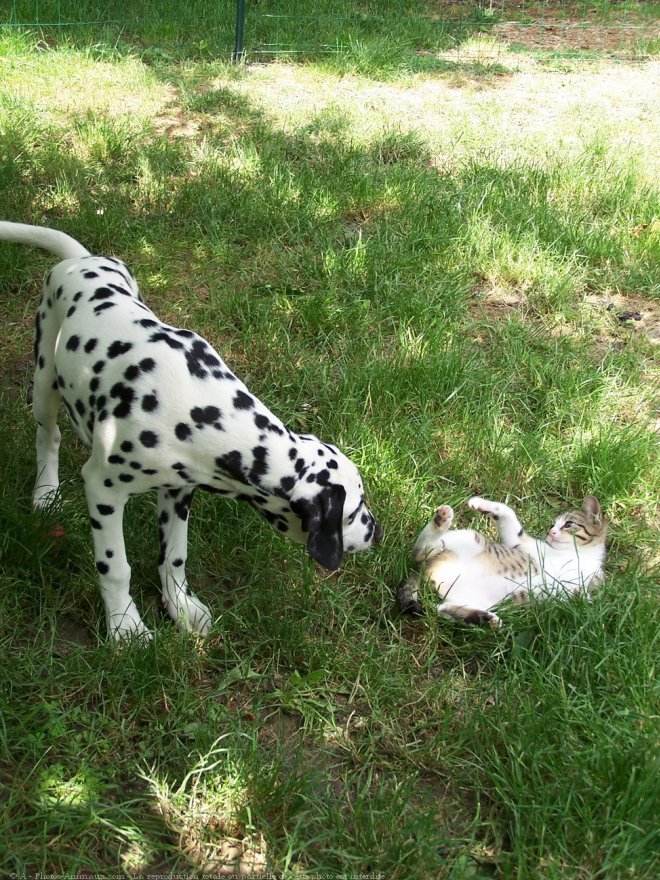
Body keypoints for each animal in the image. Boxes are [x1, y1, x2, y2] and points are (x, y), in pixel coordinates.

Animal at [0, 222, 382, 640]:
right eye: (354, 511)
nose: (377, 533)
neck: (199, 408)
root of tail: (81, 260)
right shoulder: (104, 490)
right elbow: (116, 567)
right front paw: (125, 626)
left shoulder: (179, 490)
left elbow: (175, 557)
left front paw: (181, 606)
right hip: (44, 381)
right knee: (48, 435)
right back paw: (45, 491)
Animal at [398, 496, 608, 624]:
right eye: (552, 525)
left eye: (569, 524)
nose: (551, 533)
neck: (577, 556)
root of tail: (425, 569)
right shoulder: (521, 544)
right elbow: (508, 512)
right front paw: (480, 503)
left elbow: (584, 601)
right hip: (471, 538)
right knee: (419, 551)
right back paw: (441, 520)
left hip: (477, 599)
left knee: (442, 609)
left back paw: (483, 619)